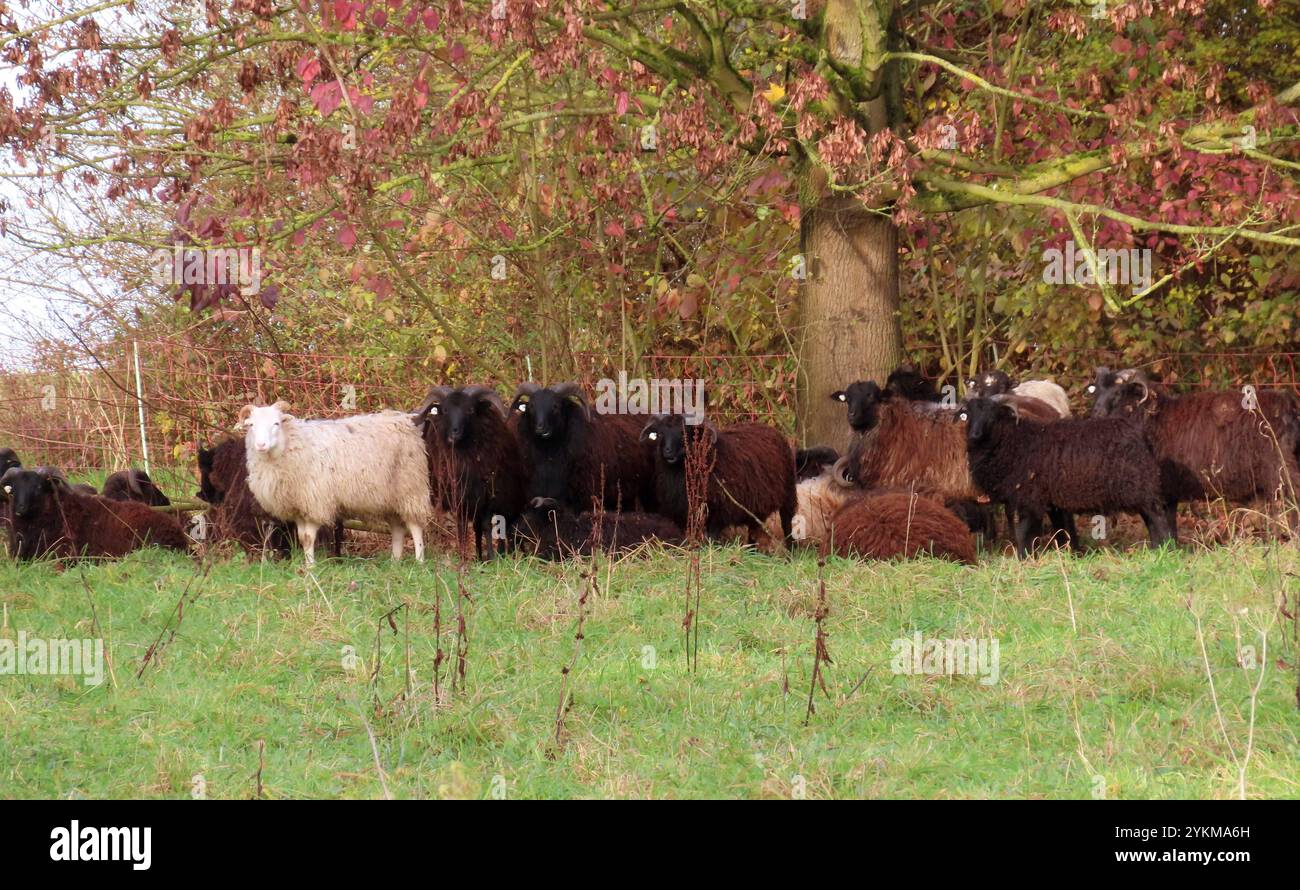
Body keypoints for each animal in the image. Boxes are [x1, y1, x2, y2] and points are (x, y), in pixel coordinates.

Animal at [239, 400, 431, 561]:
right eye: (252, 425)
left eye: (276, 423)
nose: (261, 445)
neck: (292, 443)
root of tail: (405, 420)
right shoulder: (299, 505)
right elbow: (302, 538)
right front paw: (306, 566)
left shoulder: (315, 501)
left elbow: (308, 538)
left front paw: (311, 568)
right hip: (389, 497)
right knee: (397, 529)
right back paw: (394, 562)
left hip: (410, 489)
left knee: (415, 527)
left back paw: (419, 561)